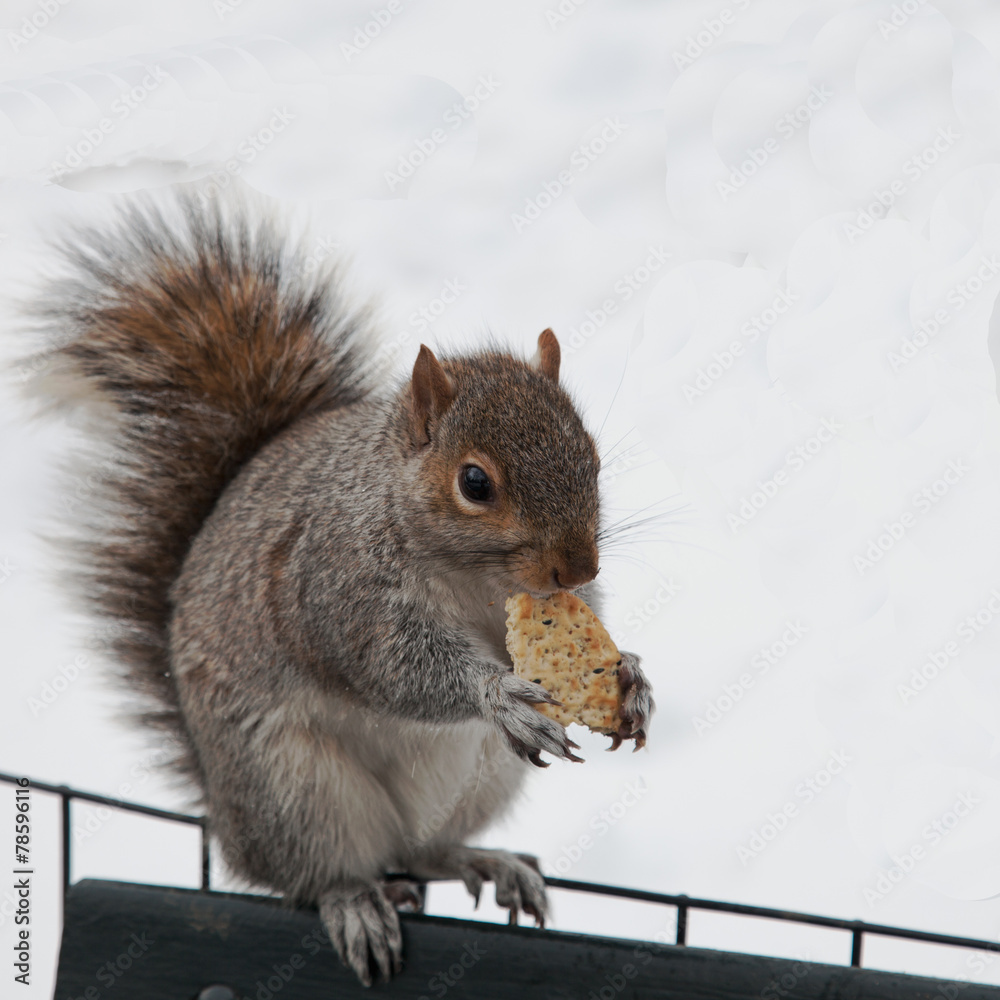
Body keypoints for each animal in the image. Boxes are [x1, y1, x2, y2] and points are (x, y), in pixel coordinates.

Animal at [20, 191, 653, 986]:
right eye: (475, 483)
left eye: (591, 458)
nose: (579, 568)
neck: (477, 579)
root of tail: (225, 817)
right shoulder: (338, 589)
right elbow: (396, 667)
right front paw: (499, 694)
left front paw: (631, 678)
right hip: (295, 791)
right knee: (317, 873)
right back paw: (353, 902)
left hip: (474, 783)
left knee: (422, 851)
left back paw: (486, 861)